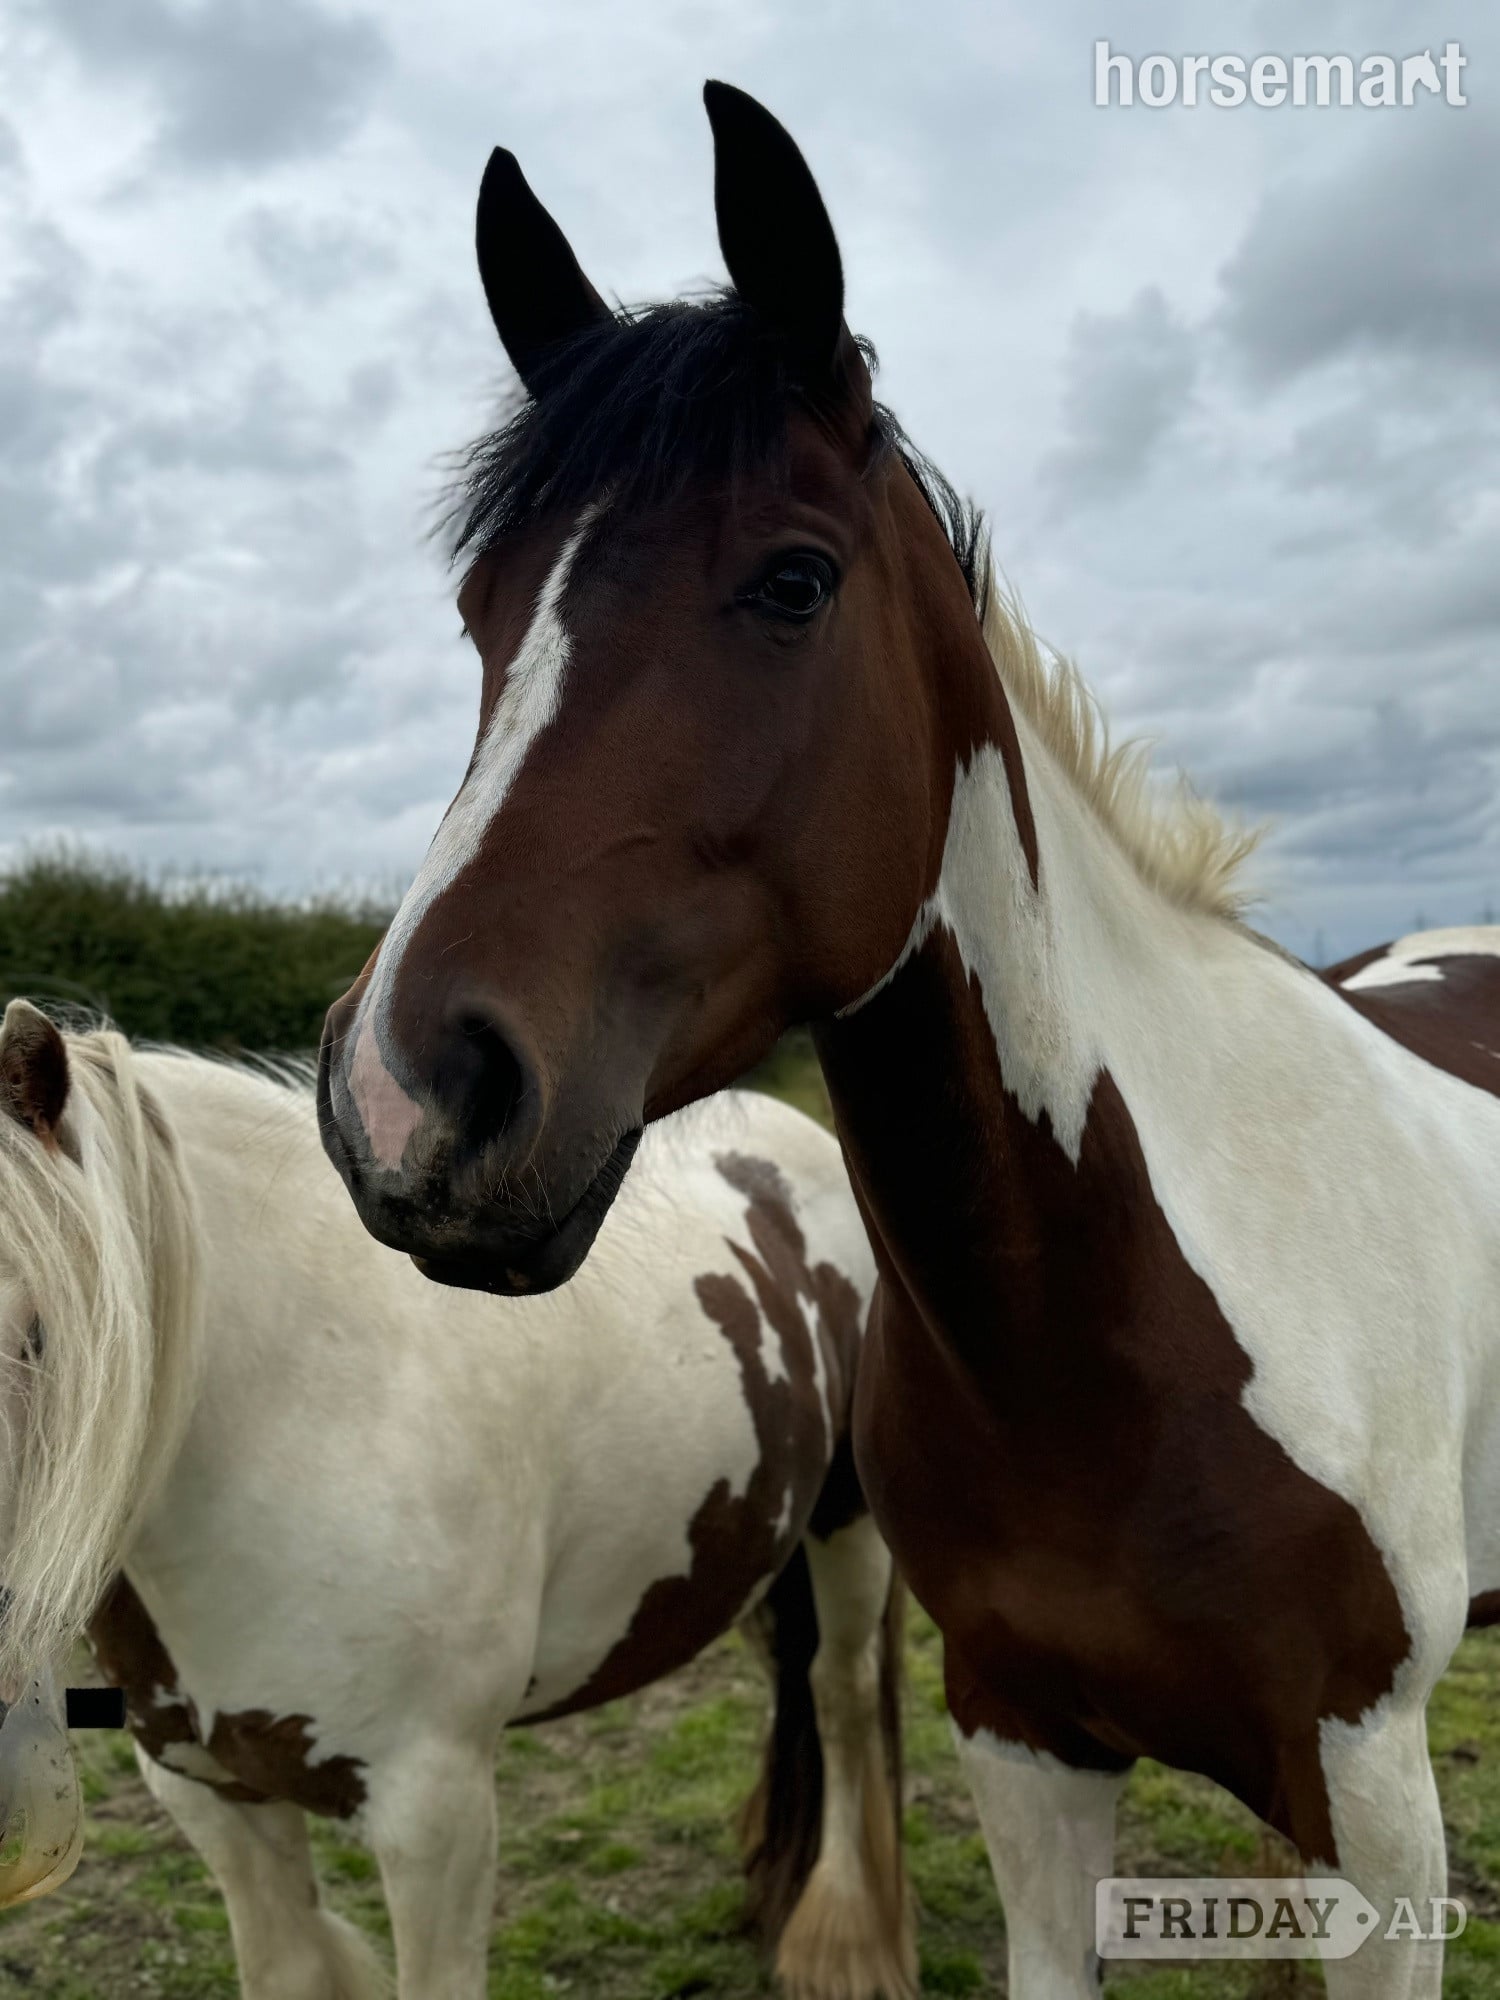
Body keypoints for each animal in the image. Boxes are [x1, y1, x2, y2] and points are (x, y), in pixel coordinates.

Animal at [0, 1000, 914, 1999]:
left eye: (36, 1335)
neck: (307, 1415)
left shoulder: (431, 1814)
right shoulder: (211, 1793)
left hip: (847, 1526)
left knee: (839, 1693)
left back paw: (847, 1940)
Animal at [316, 81, 1500, 2000]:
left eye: (793, 582)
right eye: (486, 611)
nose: (406, 1098)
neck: (1112, 1316)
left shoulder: (1381, 1800)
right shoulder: (1025, 1747)